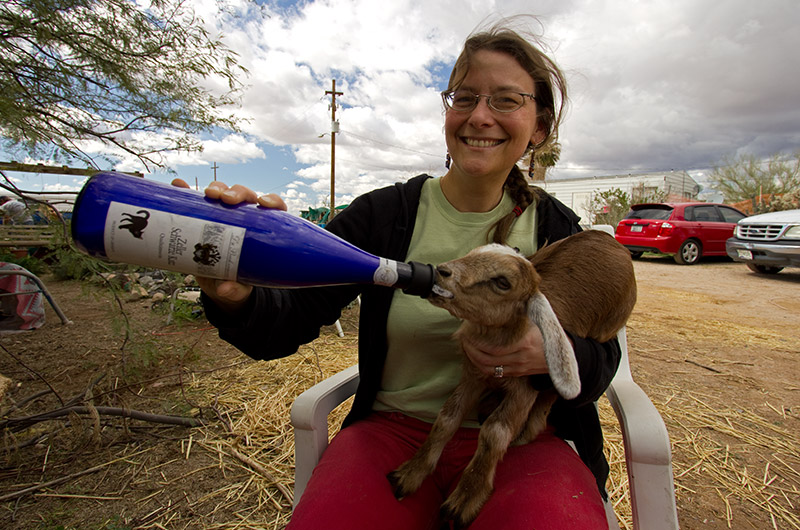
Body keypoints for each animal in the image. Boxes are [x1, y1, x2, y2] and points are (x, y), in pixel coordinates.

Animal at [388, 229, 636, 524]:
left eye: (502, 282)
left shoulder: (524, 388)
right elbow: (447, 418)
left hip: (603, 330)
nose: (441, 272)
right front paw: (409, 474)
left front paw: (465, 499)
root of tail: (614, 242)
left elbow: (495, 433)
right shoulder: (473, 375)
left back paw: (524, 432)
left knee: (549, 398)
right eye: (472, 254)